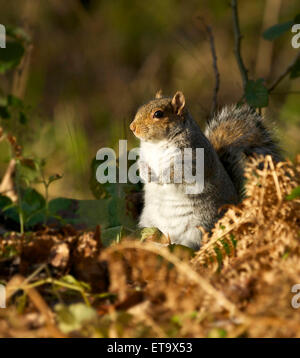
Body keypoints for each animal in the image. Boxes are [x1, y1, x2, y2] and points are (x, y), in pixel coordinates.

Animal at [129, 91, 282, 250]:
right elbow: (142, 162)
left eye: (158, 114)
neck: (157, 144)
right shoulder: (145, 154)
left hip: (197, 229)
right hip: (148, 223)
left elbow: (176, 174)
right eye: (141, 107)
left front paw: (158, 176)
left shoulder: (192, 160)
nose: (132, 127)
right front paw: (144, 172)